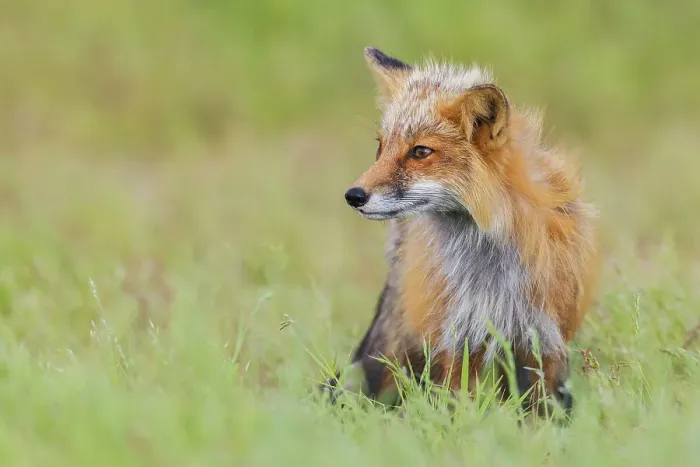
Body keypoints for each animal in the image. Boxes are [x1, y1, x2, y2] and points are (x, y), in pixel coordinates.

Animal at [326, 47, 598, 416]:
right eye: (380, 148)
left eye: (420, 152)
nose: (353, 196)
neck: (490, 269)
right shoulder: (457, 338)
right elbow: (461, 408)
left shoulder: (545, 338)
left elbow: (542, 411)